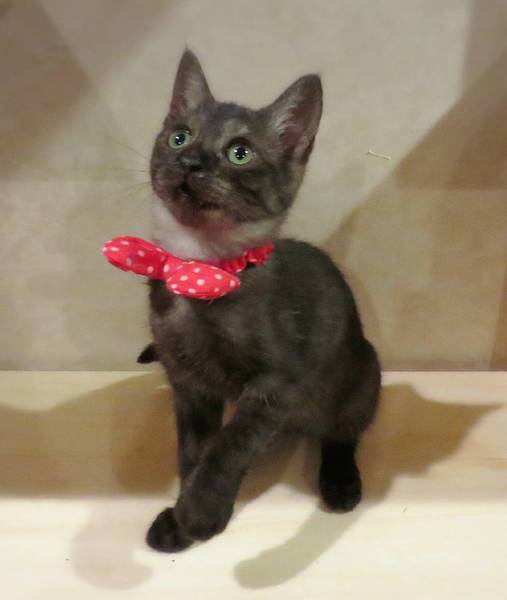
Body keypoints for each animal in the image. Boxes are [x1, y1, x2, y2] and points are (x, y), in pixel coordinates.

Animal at [144, 50, 380, 552]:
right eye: (179, 136)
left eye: (240, 152)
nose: (190, 160)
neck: (200, 266)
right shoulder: (188, 385)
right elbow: (192, 452)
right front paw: (180, 522)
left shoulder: (277, 383)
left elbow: (229, 444)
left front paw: (200, 513)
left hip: (363, 376)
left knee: (343, 430)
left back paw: (340, 481)